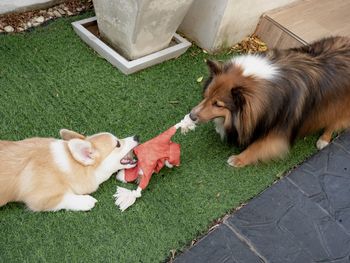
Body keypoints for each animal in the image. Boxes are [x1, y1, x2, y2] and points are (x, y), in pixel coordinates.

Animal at [0, 130, 139, 212]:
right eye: (118, 144)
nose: (136, 137)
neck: (72, 162)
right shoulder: (38, 199)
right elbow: (65, 198)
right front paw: (86, 201)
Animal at [190, 36, 350, 168]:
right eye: (206, 96)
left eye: (218, 104)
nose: (191, 116)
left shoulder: (279, 128)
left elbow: (258, 146)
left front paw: (238, 159)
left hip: (339, 106)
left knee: (335, 122)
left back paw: (324, 139)